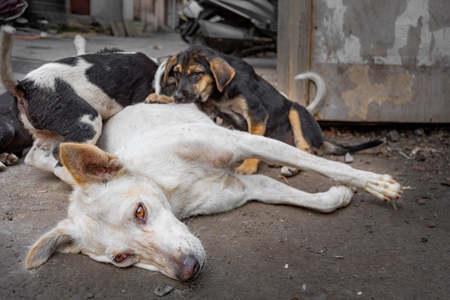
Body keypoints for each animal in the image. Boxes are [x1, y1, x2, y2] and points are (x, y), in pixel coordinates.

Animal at [24, 103, 400, 282]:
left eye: (140, 211)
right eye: (121, 258)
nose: (188, 271)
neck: (171, 182)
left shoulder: (245, 143)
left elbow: (325, 165)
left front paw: (373, 183)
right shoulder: (248, 188)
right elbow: (304, 199)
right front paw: (335, 197)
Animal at [146, 45, 382, 176]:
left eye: (196, 73)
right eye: (177, 74)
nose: (178, 96)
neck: (219, 92)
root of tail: (322, 139)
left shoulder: (256, 114)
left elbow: (255, 139)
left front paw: (249, 166)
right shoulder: (209, 109)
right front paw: (161, 97)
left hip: (296, 111)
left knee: (306, 149)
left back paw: (291, 167)